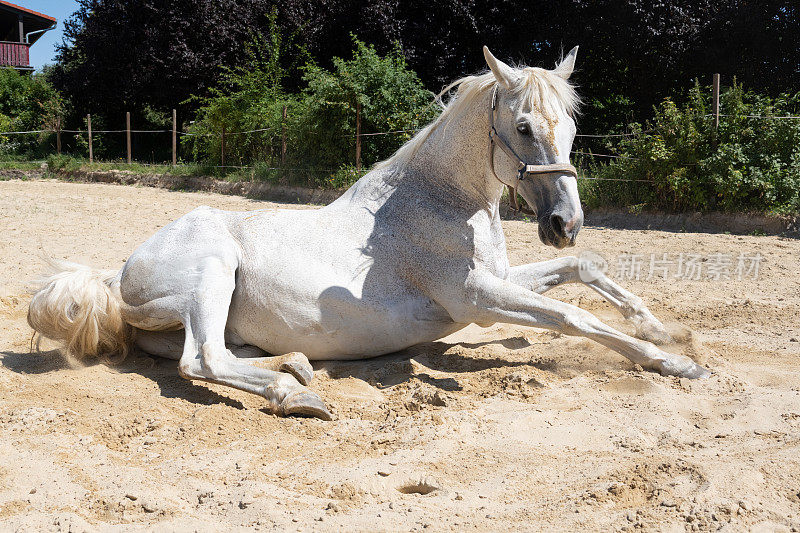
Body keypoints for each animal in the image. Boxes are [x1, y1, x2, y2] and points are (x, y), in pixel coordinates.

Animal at [28, 46, 708, 420]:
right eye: (522, 127)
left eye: (569, 124)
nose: (565, 224)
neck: (441, 201)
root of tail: (119, 273)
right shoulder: (476, 297)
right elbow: (574, 316)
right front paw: (675, 364)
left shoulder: (500, 279)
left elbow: (582, 270)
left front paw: (663, 331)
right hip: (212, 270)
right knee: (202, 359)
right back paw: (295, 394)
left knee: (212, 351)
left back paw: (295, 365)